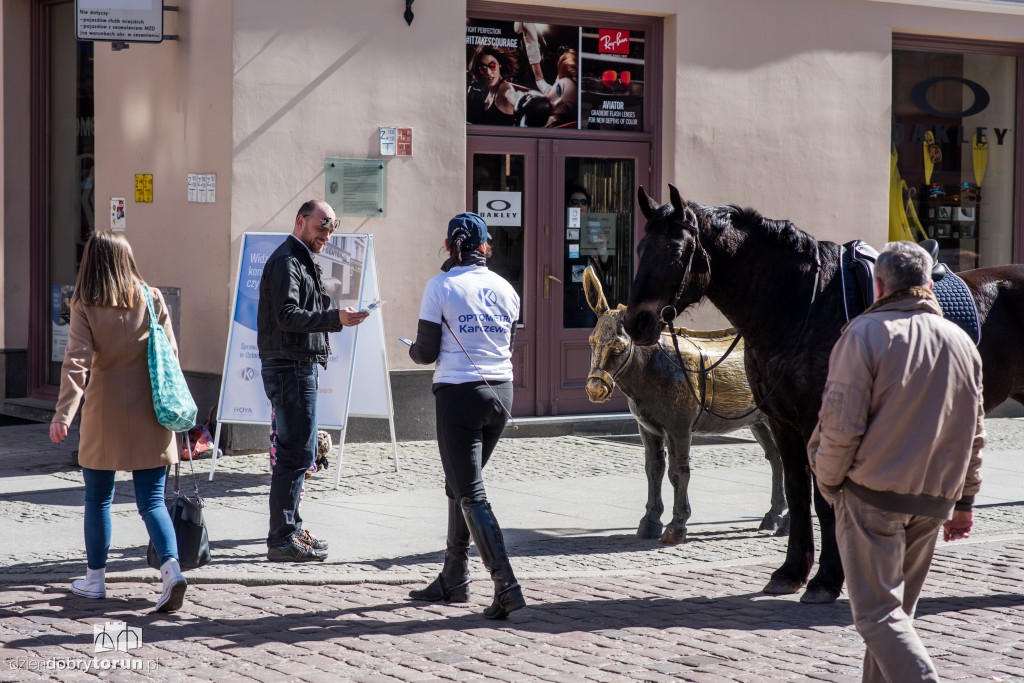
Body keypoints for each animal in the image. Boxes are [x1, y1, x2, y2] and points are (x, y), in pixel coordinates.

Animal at [618, 185, 1024, 602]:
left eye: (675, 251)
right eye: (641, 249)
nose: (636, 322)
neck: (798, 306)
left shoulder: (821, 419)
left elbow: (823, 496)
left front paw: (827, 579)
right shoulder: (782, 421)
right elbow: (797, 492)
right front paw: (791, 571)